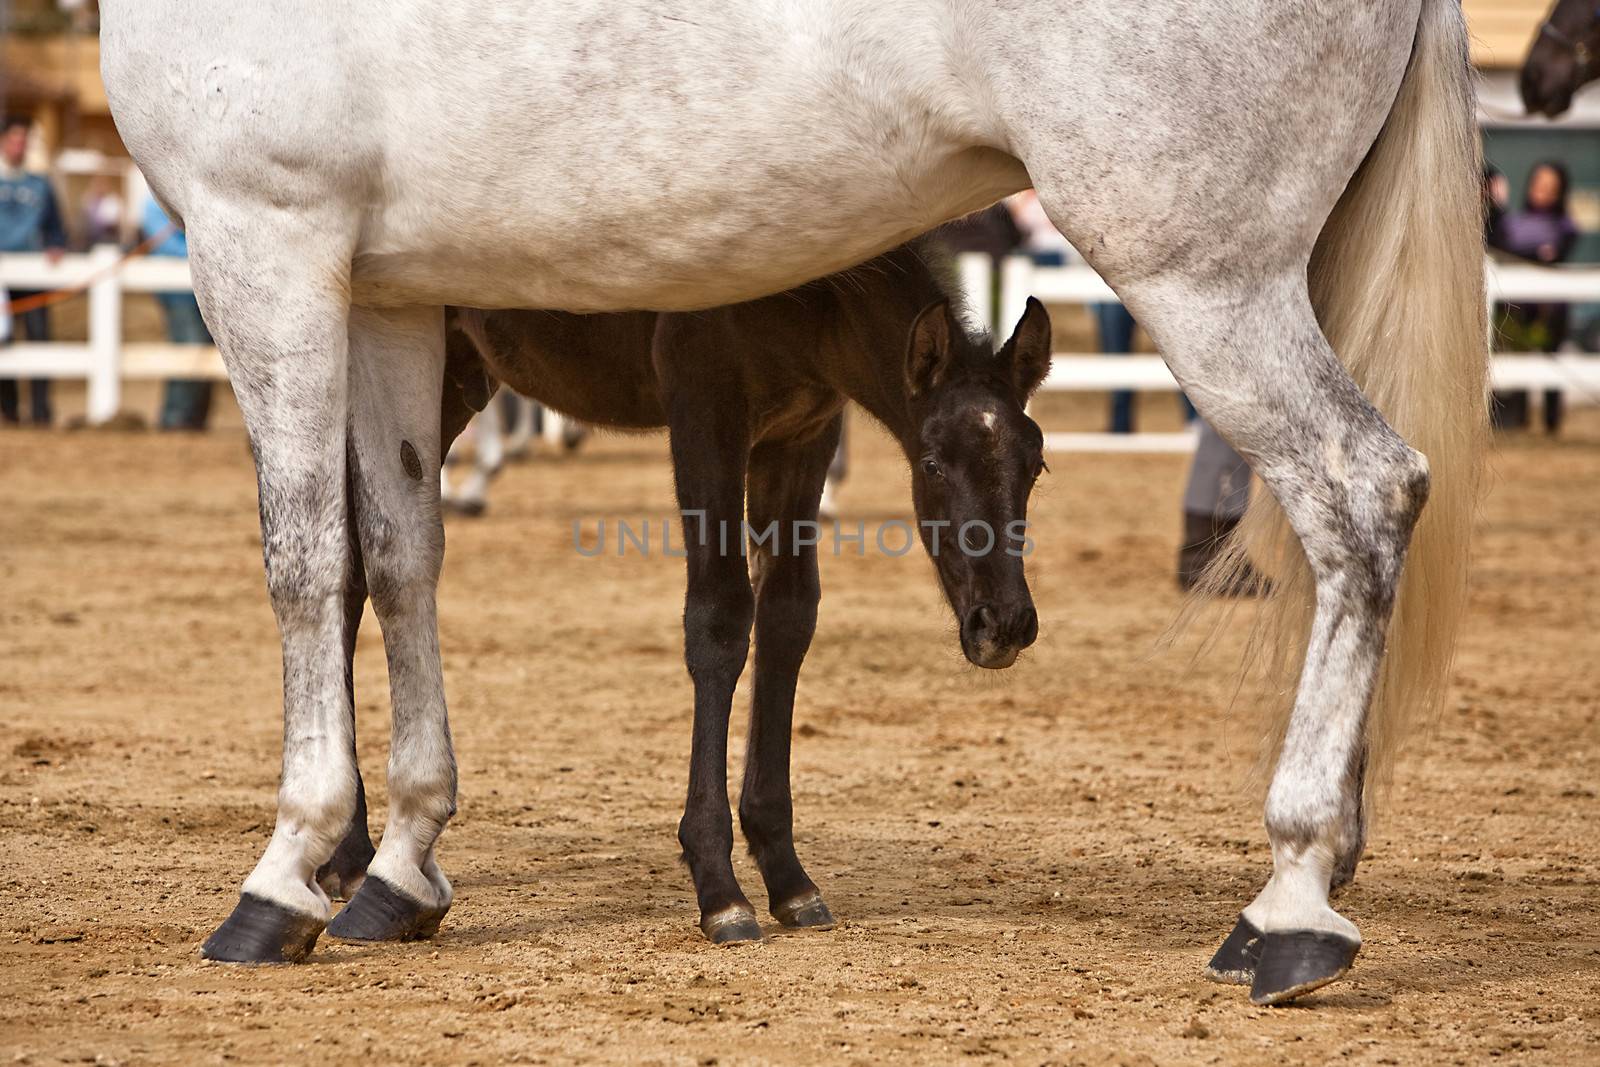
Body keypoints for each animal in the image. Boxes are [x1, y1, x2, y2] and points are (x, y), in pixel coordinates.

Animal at [100, 0, 1484, 1011]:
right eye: (941, 469)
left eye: (1032, 468)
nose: (1004, 627)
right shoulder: (387, 293)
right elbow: (398, 555)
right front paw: (396, 861)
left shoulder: (264, 241)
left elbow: (305, 562)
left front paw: (286, 873)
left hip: (1205, 276)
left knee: (1359, 491)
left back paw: (1292, 901)